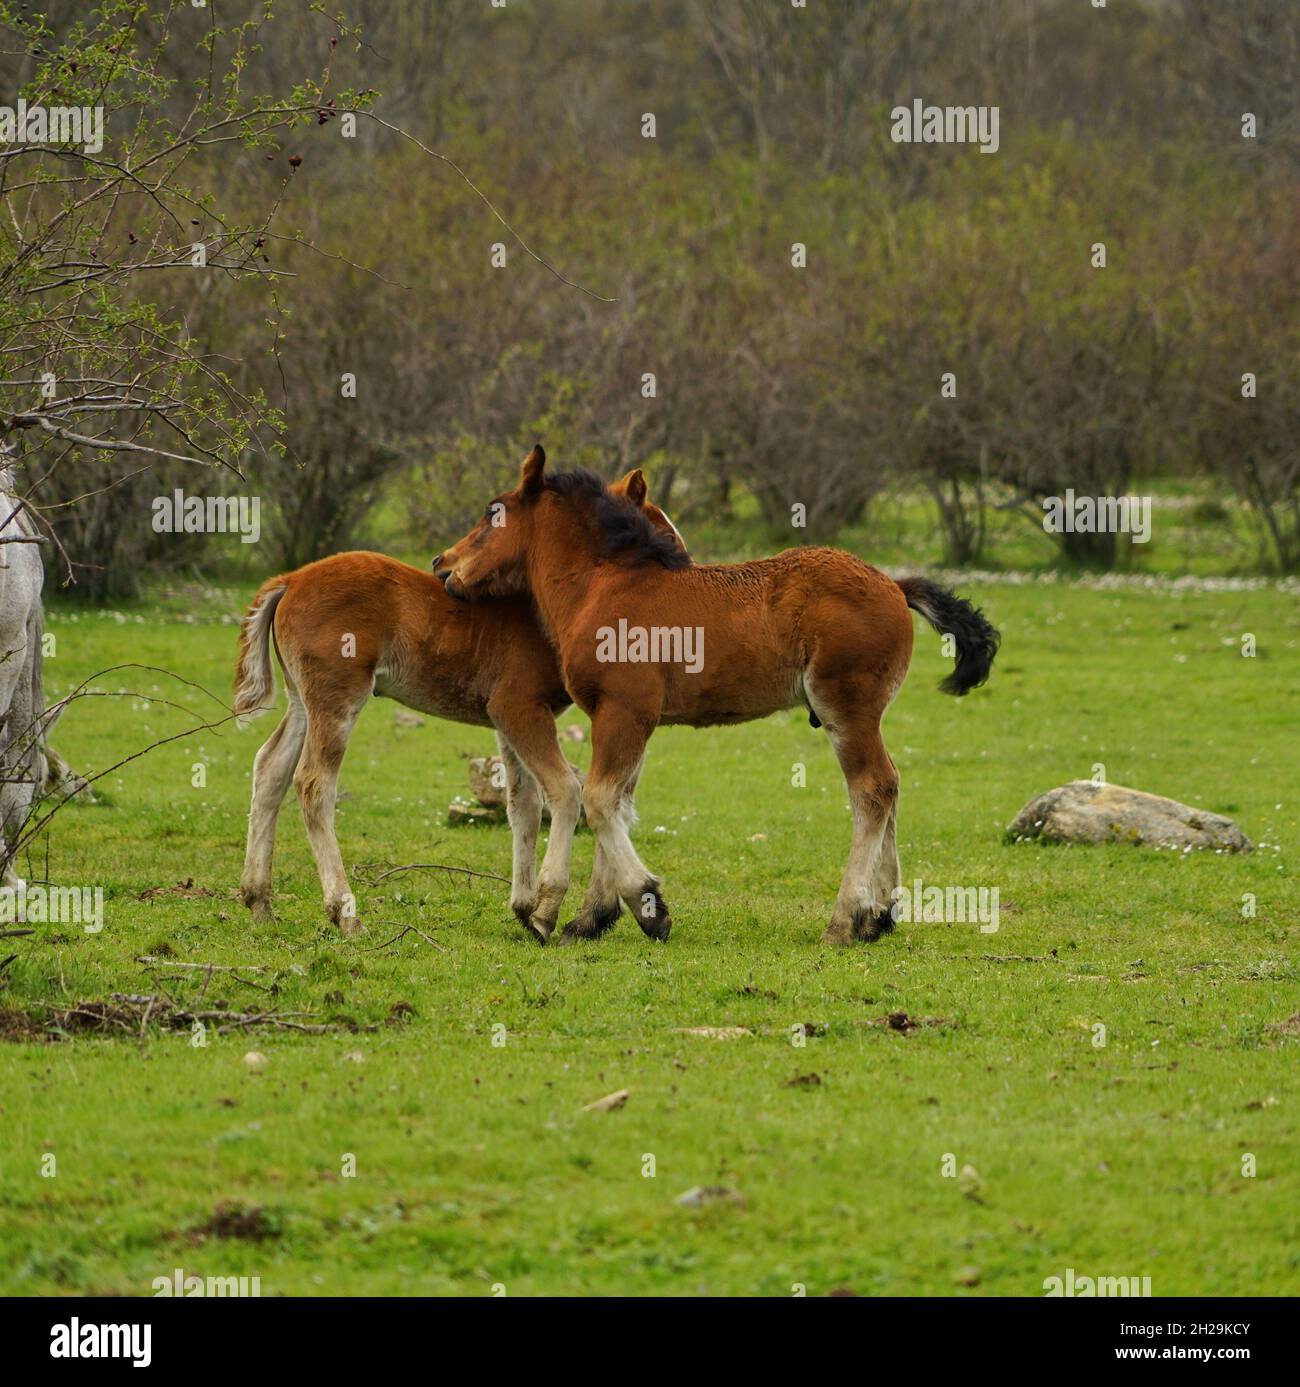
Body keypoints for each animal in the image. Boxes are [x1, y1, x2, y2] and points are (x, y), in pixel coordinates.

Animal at [234, 468, 686, 940]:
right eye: (658, 535)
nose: (683, 569)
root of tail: (291, 579)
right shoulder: (519, 707)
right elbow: (563, 790)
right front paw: (547, 911)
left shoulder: (506, 719)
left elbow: (523, 803)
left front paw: (524, 906)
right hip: (337, 697)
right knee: (313, 783)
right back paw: (345, 913)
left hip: (302, 701)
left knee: (270, 768)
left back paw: (259, 902)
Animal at [433, 445, 999, 946]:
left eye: (492, 513)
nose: (442, 563)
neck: (603, 586)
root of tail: (894, 585)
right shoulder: (631, 719)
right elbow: (619, 802)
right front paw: (592, 917)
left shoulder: (624, 711)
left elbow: (599, 800)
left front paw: (643, 908)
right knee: (893, 786)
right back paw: (879, 915)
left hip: (847, 710)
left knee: (873, 790)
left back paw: (845, 920)